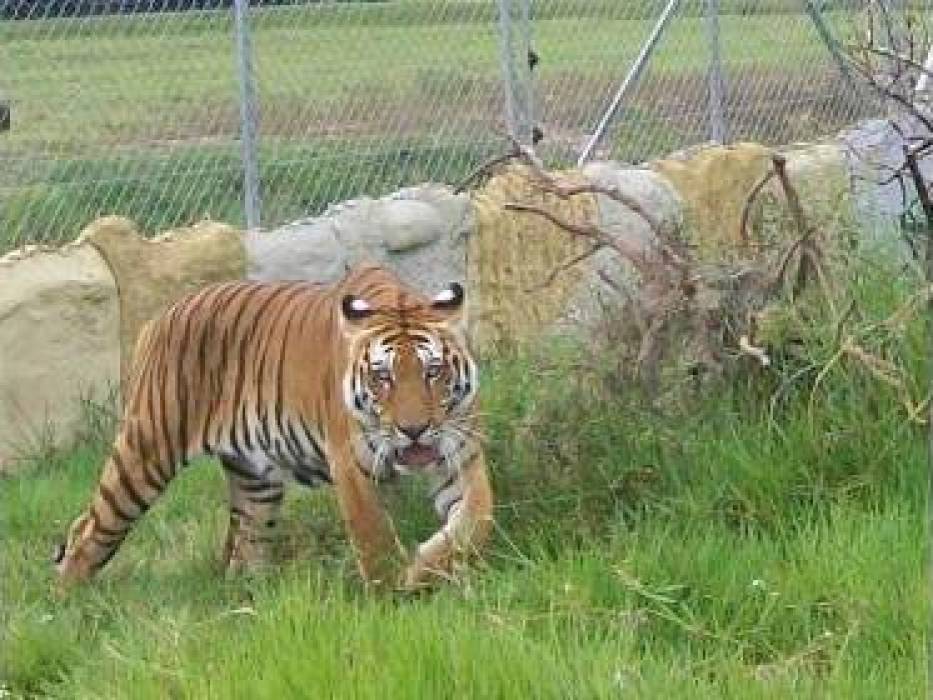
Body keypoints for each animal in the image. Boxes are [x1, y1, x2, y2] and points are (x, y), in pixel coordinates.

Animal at [53, 264, 492, 590]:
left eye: (432, 371)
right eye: (382, 377)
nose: (414, 430)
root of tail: (159, 318)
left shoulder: (461, 455)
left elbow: (477, 521)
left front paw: (424, 568)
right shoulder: (351, 466)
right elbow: (374, 538)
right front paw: (396, 592)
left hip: (255, 481)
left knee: (246, 547)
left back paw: (250, 600)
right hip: (145, 452)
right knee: (88, 531)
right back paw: (69, 604)